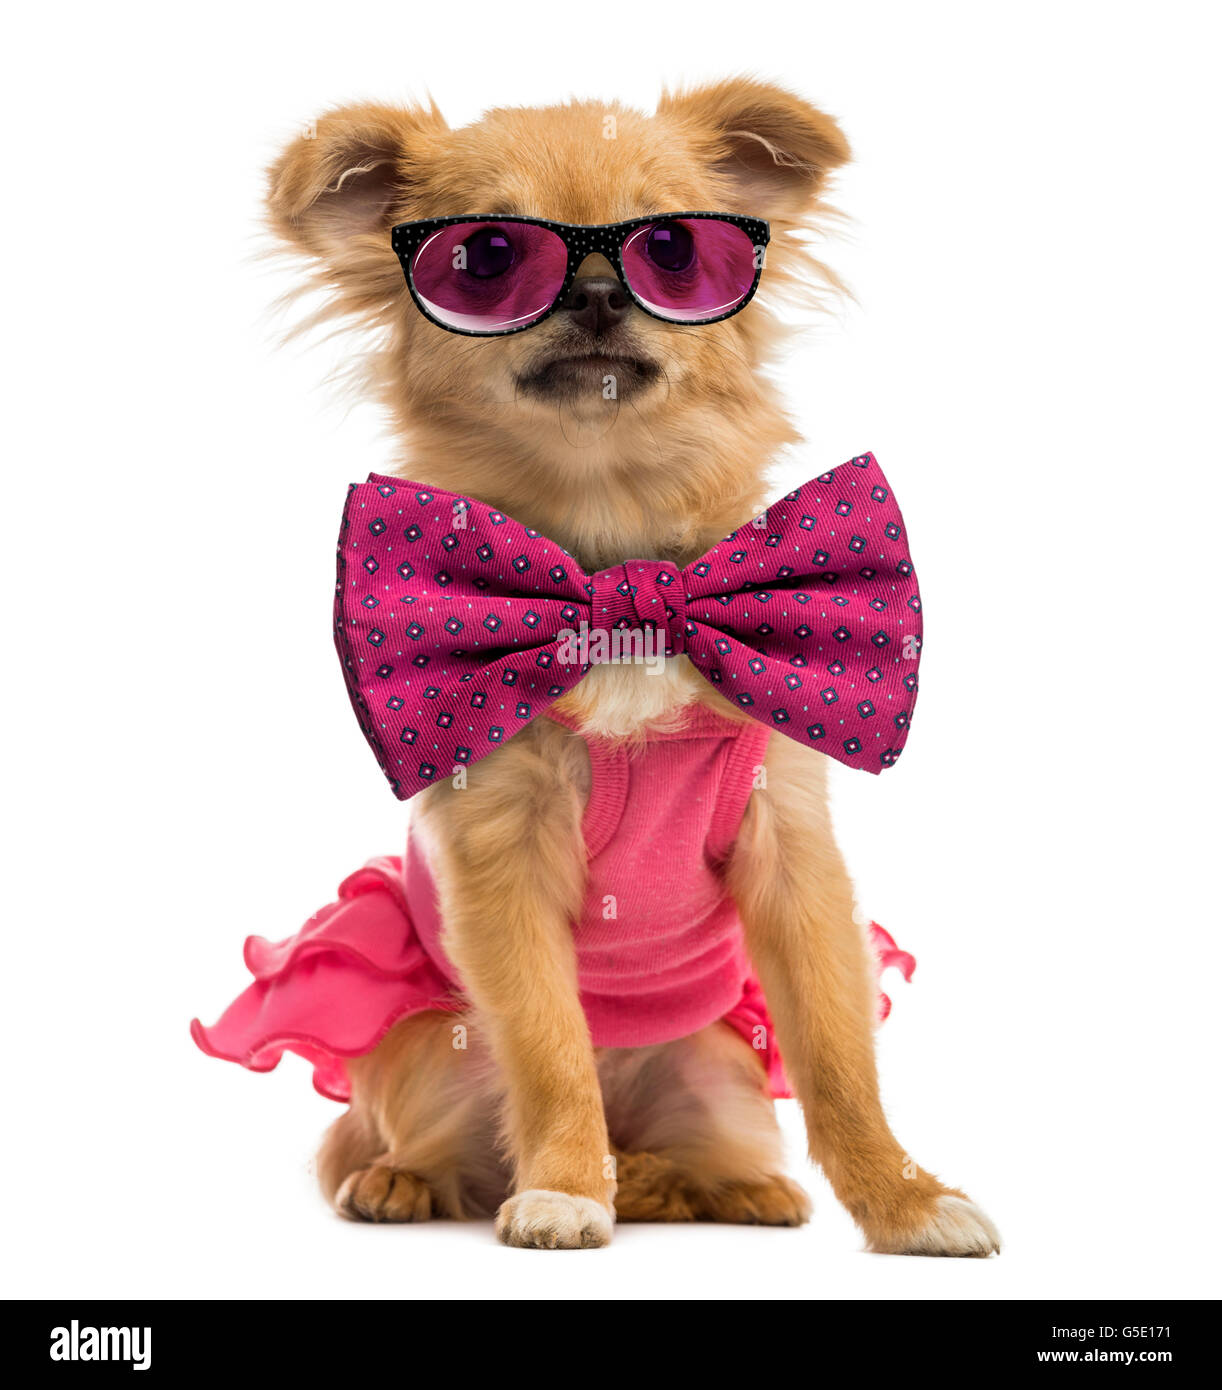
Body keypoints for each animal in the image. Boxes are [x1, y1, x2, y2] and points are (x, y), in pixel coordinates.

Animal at [262, 81, 1000, 1256]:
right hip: (425, 1046)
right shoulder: (502, 861)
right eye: (485, 257)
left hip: (721, 1066)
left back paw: (718, 1186)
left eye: (672, 248)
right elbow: (550, 1049)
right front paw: (566, 1185)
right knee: (422, 1137)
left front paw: (908, 1200)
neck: (619, 574)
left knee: (693, 1152)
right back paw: (416, 1178)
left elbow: (840, 1058)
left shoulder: (791, 852)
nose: (604, 290)